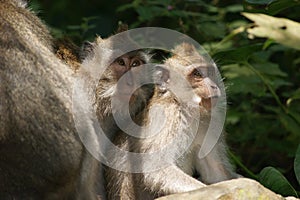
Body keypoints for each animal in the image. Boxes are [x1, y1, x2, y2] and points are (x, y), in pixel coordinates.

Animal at [105, 43, 239, 199]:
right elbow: (155, 168)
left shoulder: (210, 120)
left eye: (210, 72)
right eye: (197, 74)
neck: (186, 108)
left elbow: (215, 174)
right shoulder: (167, 117)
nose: (213, 86)